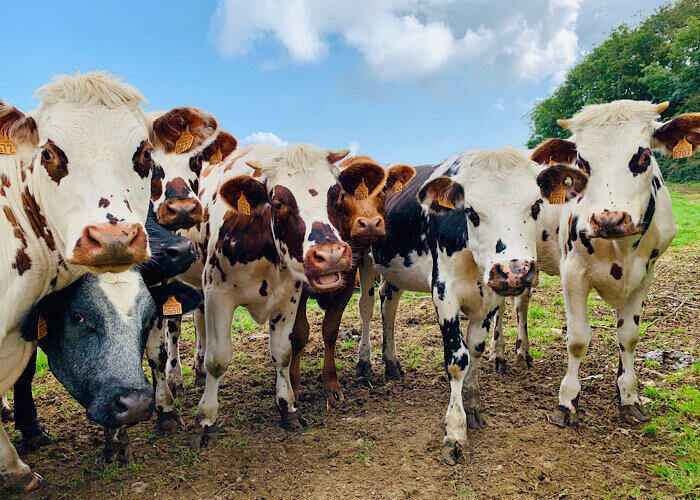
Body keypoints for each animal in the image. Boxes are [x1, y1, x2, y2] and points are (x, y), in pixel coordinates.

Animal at [175, 141, 355, 449]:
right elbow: (218, 359)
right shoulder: (218, 294)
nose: (330, 255)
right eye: (279, 203)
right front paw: (205, 421)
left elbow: (283, 352)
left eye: (339, 195)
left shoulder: (289, 296)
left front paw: (288, 409)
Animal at [291, 156, 415, 405]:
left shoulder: (354, 274)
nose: (370, 224)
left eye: (383, 190)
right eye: (342, 194)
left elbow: (334, 327)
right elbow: (299, 332)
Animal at [356, 147, 587, 464]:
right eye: (471, 211)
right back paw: (365, 362)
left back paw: (391, 362)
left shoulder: (489, 300)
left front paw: (473, 404)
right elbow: (458, 359)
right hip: (365, 260)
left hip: (395, 271)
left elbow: (475, 350)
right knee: (366, 308)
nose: (514, 271)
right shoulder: (444, 293)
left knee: (388, 304)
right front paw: (455, 431)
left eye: (536, 207)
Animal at [501, 100, 693, 428]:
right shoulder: (572, 272)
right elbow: (577, 338)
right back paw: (497, 354)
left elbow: (629, 336)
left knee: (521, 304)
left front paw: (629, 396)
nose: (609, 219)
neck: (621, 246)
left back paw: (522, 352)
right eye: (581, 162)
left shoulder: (645, 275)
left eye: (644, 156)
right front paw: (567, 401)